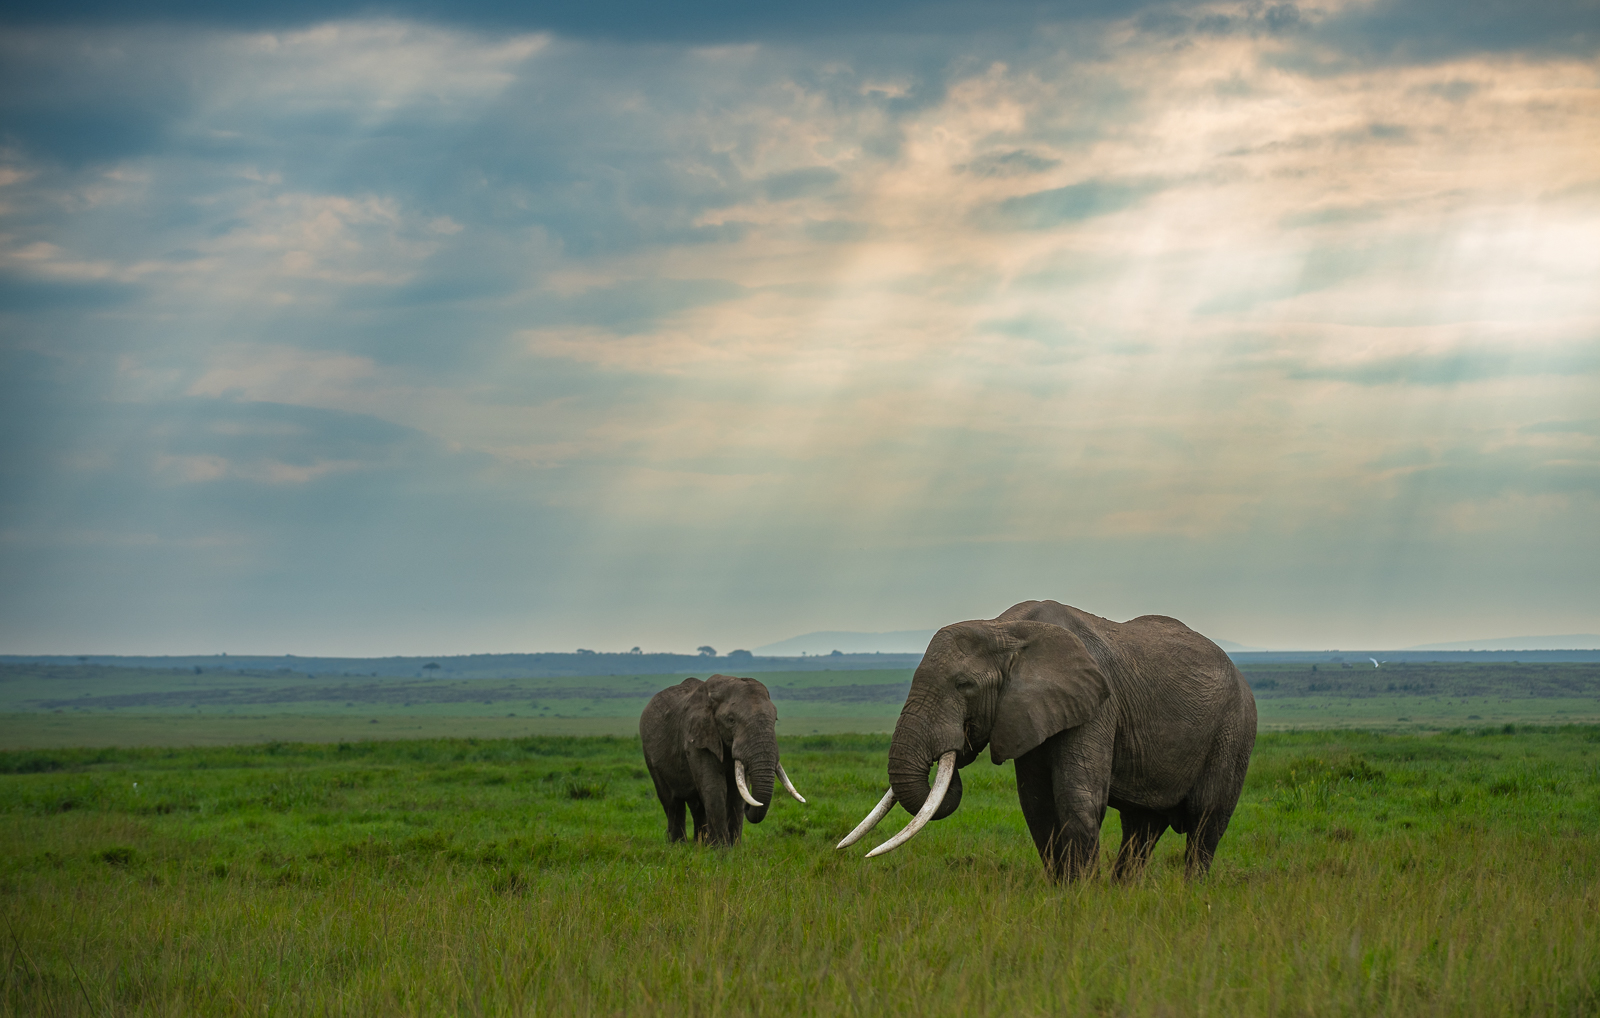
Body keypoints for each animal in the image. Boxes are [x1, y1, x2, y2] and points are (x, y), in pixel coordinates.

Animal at [640, 674, 807, 845]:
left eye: (775, 720)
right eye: (731, 720)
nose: (749, 807)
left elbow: (736, 793)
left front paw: (733, 848)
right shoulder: (696, 738)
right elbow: (714, 787)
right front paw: (720, 848)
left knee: (696, 805)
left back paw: (700, 845)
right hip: (649, 755)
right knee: (672, 802)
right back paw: (679, 846)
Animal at [838, 600, 1256, 880]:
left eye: (964, 685)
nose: (957, 746)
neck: (1005, 628)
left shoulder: (1097, 705)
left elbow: (1075, 797)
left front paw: (1082, 897)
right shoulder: (1027, 711)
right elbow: (1037, 804)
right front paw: (1065, 892)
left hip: (1234, 729)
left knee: (1206, 819)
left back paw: (1190, 894)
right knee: (1142, 828)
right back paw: (1125, 894)